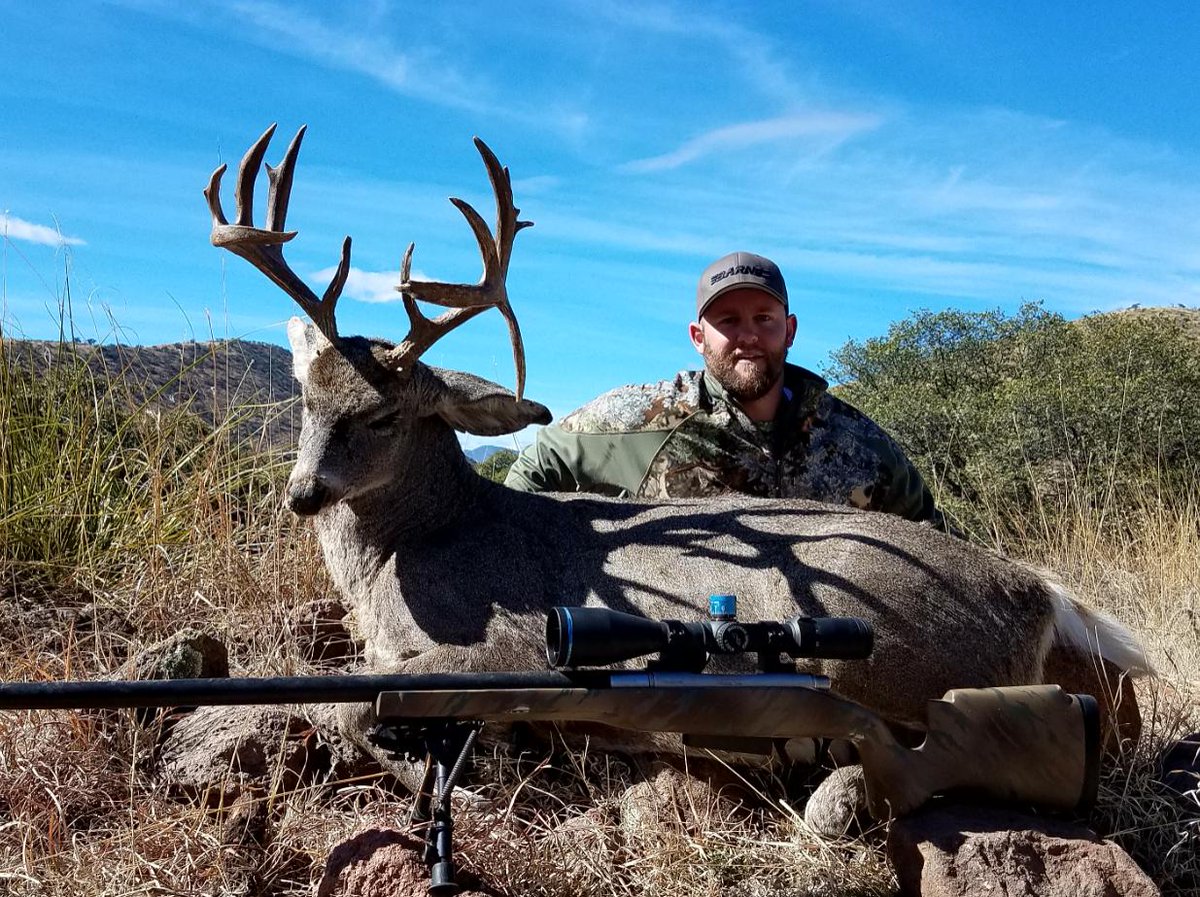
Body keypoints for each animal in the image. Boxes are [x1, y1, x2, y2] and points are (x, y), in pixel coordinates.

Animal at [205, 124, 1149, 829]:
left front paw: (462, 787)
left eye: (387, 415)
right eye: (307, 397)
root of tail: (1040, 592)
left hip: (882, 646)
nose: (303, 493)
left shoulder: (509, 644)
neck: (406, 553)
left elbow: (350, 706)